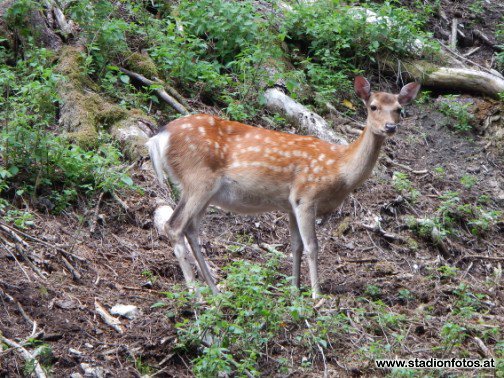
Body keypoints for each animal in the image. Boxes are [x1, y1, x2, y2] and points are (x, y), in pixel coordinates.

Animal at [147, 77, 422, 298]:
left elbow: (295, 246)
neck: (339, 170)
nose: (390, 127)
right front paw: (316, 295)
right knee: (174, 226)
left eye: (399, 109)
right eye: (373, 106)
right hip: (198, 179)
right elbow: (312, 246)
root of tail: (158, 137)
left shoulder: (290, 204)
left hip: (201, 190)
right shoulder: (306, 195)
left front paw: (294, 291)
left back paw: (215, 290)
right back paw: (196, 294)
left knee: (191, 229)